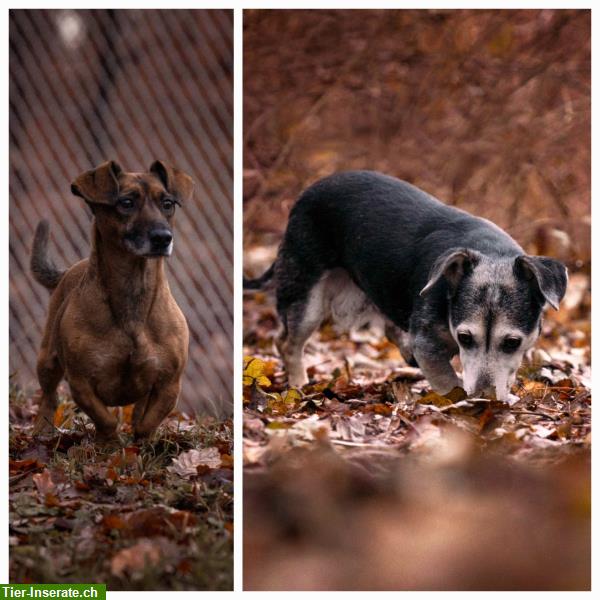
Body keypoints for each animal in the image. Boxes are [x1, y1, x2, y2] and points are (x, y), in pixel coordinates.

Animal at [29, 159, 192, 440]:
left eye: (167, 203)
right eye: (126, 202)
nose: (162, 237)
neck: (133, 289)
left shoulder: (169, 384)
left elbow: (147, 423)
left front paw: (141, 444)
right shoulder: (81, 383)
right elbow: (105, 420)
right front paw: (111, 444)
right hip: (47, 361)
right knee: (49, 398)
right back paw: (42, 430)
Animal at [245, 171, 568, 400]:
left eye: (512, 342)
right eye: (465, 338)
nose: (484, 397)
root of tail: (304, 196)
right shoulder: (428, 344)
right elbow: (448, 380)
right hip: (306, 292)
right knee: (287, 341)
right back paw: (299, 384)